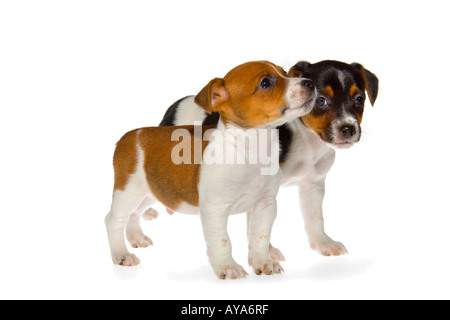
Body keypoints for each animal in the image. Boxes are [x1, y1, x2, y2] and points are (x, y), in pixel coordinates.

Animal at [105, 61, 316, 278]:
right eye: (266, 83)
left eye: (285, 73)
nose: (309, 83)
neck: (251, 150)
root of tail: (130, 135)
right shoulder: (215, 210)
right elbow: (222, 241)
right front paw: (228, 267)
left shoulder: (265, 206)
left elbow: (260, 237)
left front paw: (263, 262)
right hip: (127, 192)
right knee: (113, 220)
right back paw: (121, 254)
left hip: (149, 192)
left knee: (134, 214)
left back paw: (136, 238)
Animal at [160, 60, 378, 258]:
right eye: (321, 100)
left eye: (359, 99)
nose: (348, 129)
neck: (305, 138)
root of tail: (175, 105)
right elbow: (255, 223)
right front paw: (267, 251)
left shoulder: (312, 184)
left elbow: (315, 217)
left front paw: (323, 243)